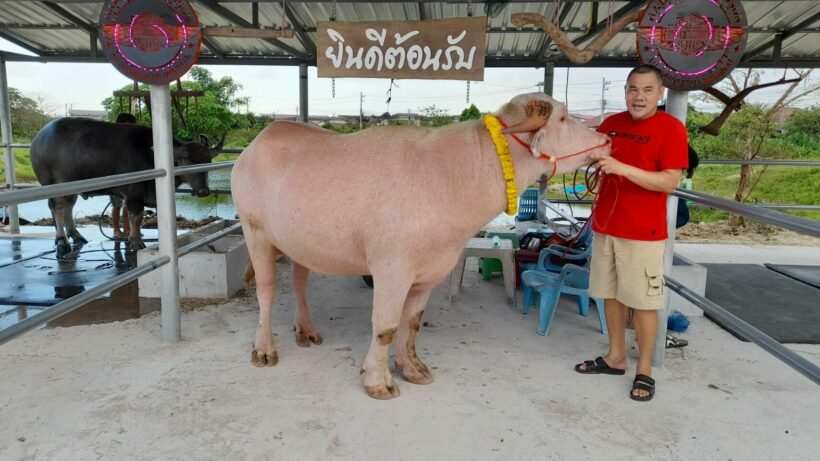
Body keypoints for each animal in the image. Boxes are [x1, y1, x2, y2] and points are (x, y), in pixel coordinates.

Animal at [30, 117, 223, 256]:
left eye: (207, 162)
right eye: (188, 162)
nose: (203, 191)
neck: (151, 156)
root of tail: (38, 139)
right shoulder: (133, 194)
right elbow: (136, 217)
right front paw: (136, 242)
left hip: (73, 187)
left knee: (69, 206)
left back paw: (77, 236)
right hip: (54, 183)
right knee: (57, 207)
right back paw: (62, 242)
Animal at [231, 91, 608, 398]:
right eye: (564, 117)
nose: (606, 139)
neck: (449, 177)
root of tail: (254, 147)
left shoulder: (429, 272)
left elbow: (411, 322)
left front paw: (411, 368)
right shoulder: (391, 270)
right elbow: (385, 326)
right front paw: (378, 380)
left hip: (299, 243)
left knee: (299, 284)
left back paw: (306, 330)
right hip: (255, 231)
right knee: (266, 291)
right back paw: (264, 349)